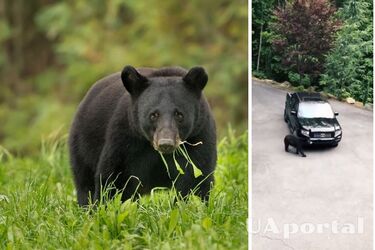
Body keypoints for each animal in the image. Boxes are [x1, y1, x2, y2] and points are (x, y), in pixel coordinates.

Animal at [68, 65, 217, 206]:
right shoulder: (125, 139)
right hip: (83, 146)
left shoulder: (199, 136)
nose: (165, 143)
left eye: (179, 114)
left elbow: (196, 178)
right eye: (153, 115)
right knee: (84, 184)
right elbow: (112, 177)